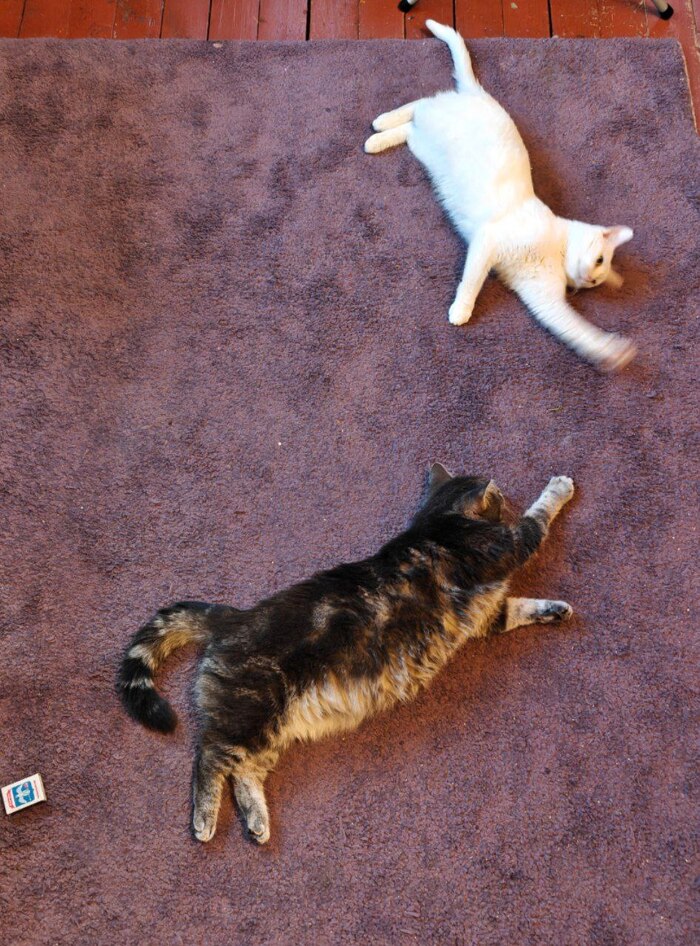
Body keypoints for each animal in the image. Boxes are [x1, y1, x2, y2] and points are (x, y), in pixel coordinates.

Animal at [118, 465, 575, 845]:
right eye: (499, 499)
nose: (504, 495)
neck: (436, 522)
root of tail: (233, 616)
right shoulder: (508, 545)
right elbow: (538, 516)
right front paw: (558, 487)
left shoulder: (487, 616)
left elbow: (518, 608)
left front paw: (554, 609)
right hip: (251, 711)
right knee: (210, 756)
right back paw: (205, 820)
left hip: (267, 731)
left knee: (244, 771)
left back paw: (258, 822)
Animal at [364, 19, 636, 373]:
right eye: (599, 260)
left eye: (595, 283)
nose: (588, 279)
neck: (556, 250)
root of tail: (480, 94)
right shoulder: (488, 242)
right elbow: (471, 282)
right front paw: (461, 310)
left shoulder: (543, 299)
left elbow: (577, 330)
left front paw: (614, 352)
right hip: (437, 124)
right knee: (421, 104)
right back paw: (380, 123)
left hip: (425, 147)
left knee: (411, 127)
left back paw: (378, 137)